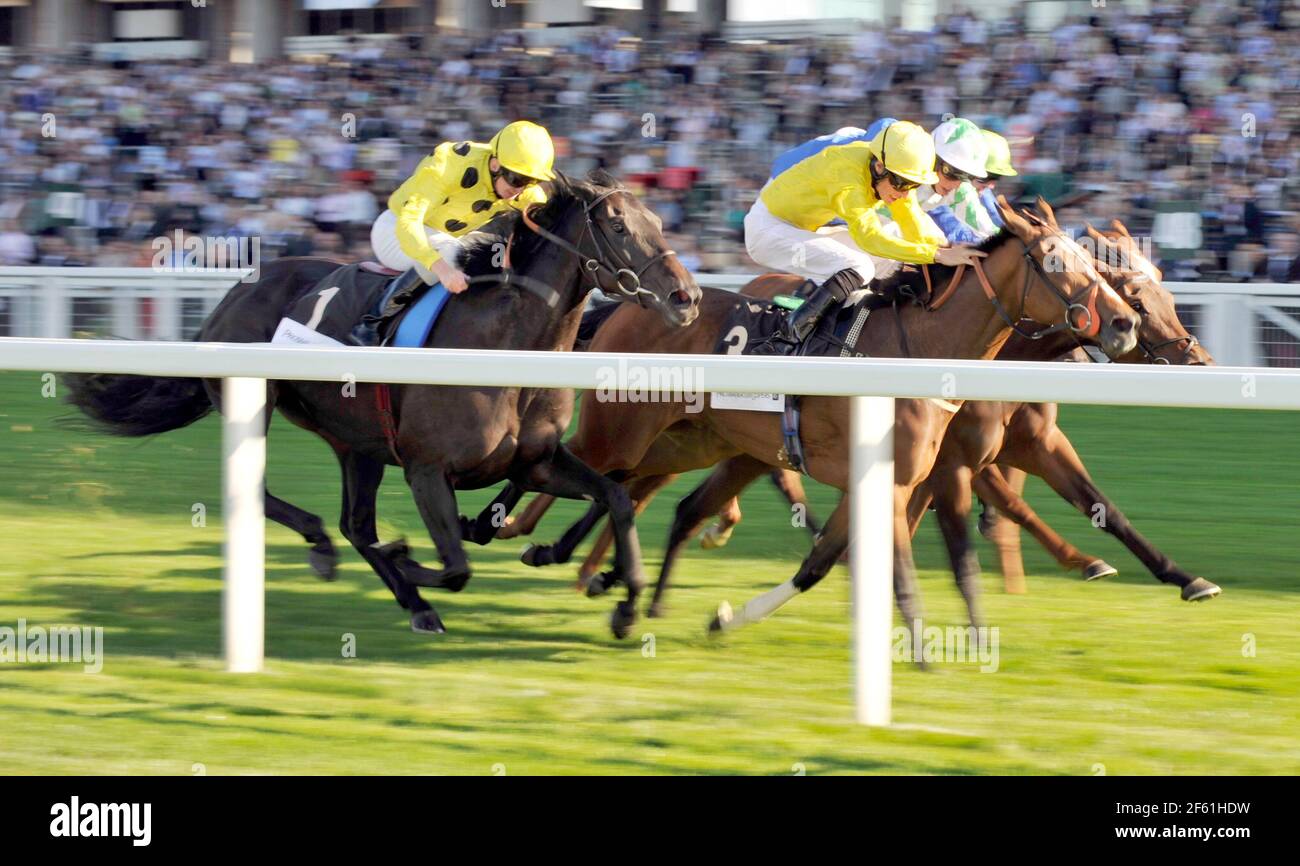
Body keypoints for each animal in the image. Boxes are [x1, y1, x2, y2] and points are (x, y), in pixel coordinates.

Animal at [65, 171, 702, 637]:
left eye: (657, 221)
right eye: (617, 225)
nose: (687, 297)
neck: (506, 348)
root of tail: (231, 296)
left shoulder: (536, 461)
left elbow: (616, 497)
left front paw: (626, 600)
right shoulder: (427, 470)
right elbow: (456, 567)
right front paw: (411, 553)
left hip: (357, 441)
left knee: (355, 523)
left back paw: (402, 594)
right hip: (258, 401)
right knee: (272, 497)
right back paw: (335, 552)